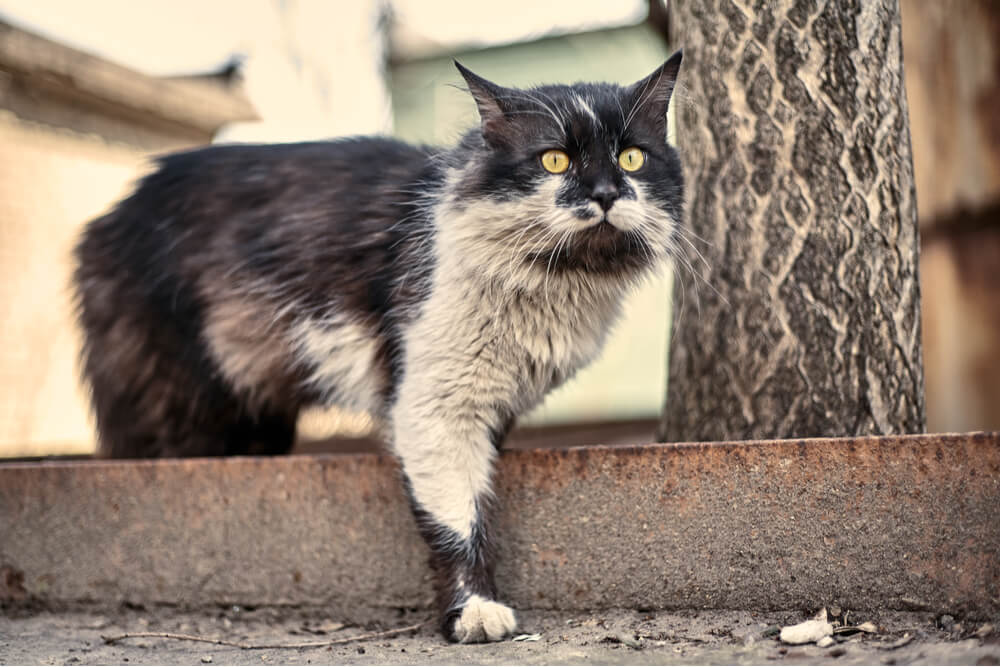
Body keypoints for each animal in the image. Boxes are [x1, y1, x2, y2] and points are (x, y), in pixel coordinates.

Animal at [74, 54, 684, 644]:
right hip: (180, 411)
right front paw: (474, 611)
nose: (605, 195)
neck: (556, 288)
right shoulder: (433, 404)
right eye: (554, 161)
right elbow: (457, 518)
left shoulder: (493, 403)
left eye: (632, 158)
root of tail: (108, 217)